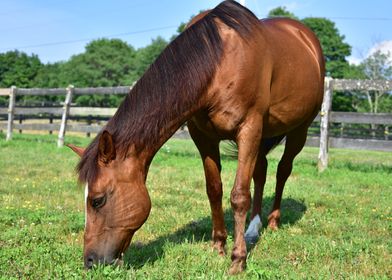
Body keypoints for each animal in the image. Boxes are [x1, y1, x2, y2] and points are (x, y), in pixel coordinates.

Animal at [67, 0, 324, 274]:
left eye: (97, 200)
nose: (90, 261)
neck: (219, 61)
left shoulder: (249, 129)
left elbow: (239, 195)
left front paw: (238, 260)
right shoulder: (204, 137)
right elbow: (214, 189)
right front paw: (218, 245)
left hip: (298, 130)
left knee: (283, 170)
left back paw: (273, 221)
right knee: (261, 171)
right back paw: (254, 228)